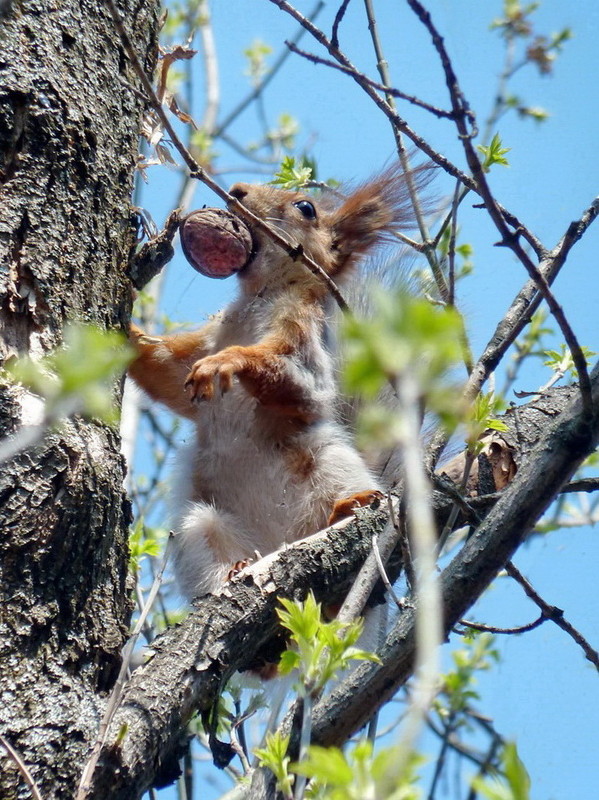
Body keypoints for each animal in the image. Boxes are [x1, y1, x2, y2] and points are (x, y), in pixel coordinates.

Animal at [130, 161, 432, 600]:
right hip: (199, 525)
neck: (260, 295)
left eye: (306, 208)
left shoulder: (302, 337)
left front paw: (228, 362)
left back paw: (349, 506)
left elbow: (297, 382)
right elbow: (166, 368)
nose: (237, 191)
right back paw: (236, 569)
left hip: (329, 460)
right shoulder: (204, 341)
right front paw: (129, 332)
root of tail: (280, 541)